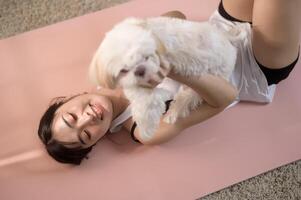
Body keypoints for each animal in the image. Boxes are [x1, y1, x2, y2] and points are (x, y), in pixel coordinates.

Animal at [88, 16, 237, 141]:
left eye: (146, 57)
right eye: (123, 70)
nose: (140, 70)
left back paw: (173, 113)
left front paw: (146, 130)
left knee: (191, 96)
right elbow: (142, 98)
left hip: (217, 73)